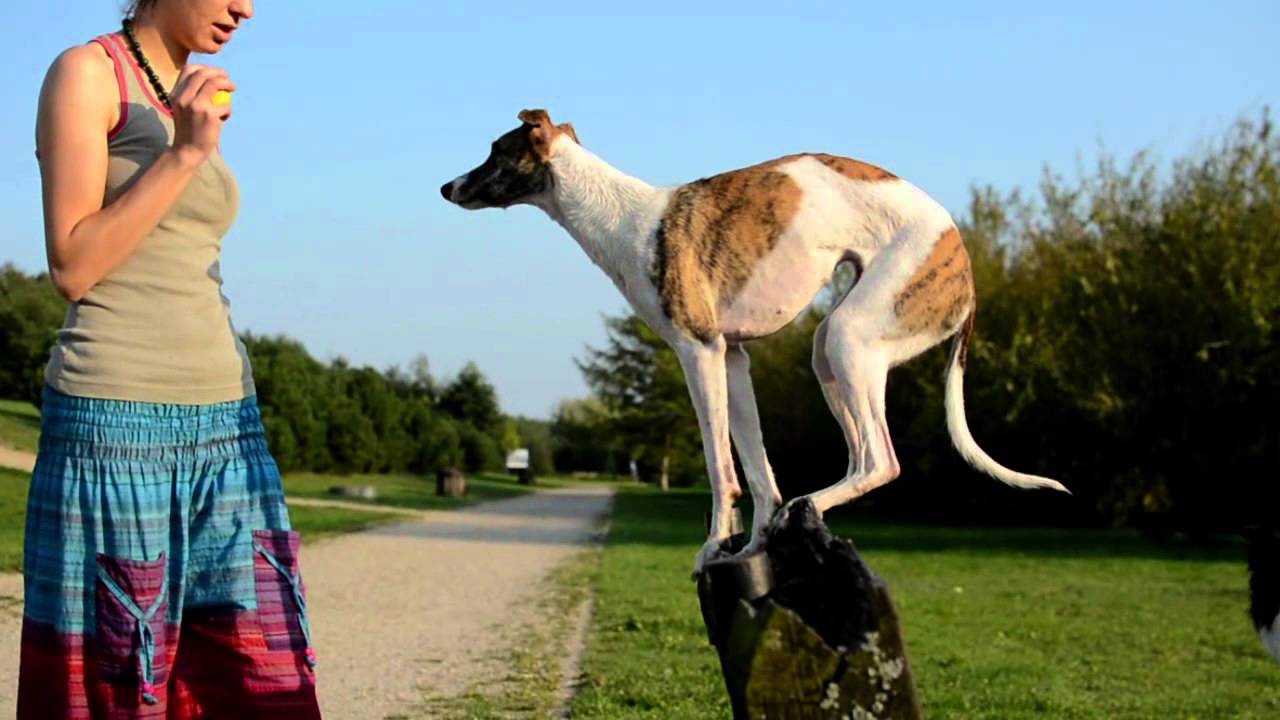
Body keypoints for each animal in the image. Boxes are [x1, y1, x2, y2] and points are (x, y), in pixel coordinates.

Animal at [440, 109, 1070, 568]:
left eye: (495, 149)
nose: (446, 187)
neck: (624, 218)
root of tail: (966, 269)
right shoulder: (734, 357)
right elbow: (759, 469)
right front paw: (750, 547)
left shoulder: (698, 350)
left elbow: (721, 466)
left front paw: (711, 548)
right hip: (831, 355)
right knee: (859, 456)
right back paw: (801, 516)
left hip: (852, 336)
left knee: (881, 461)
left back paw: (809, 504)